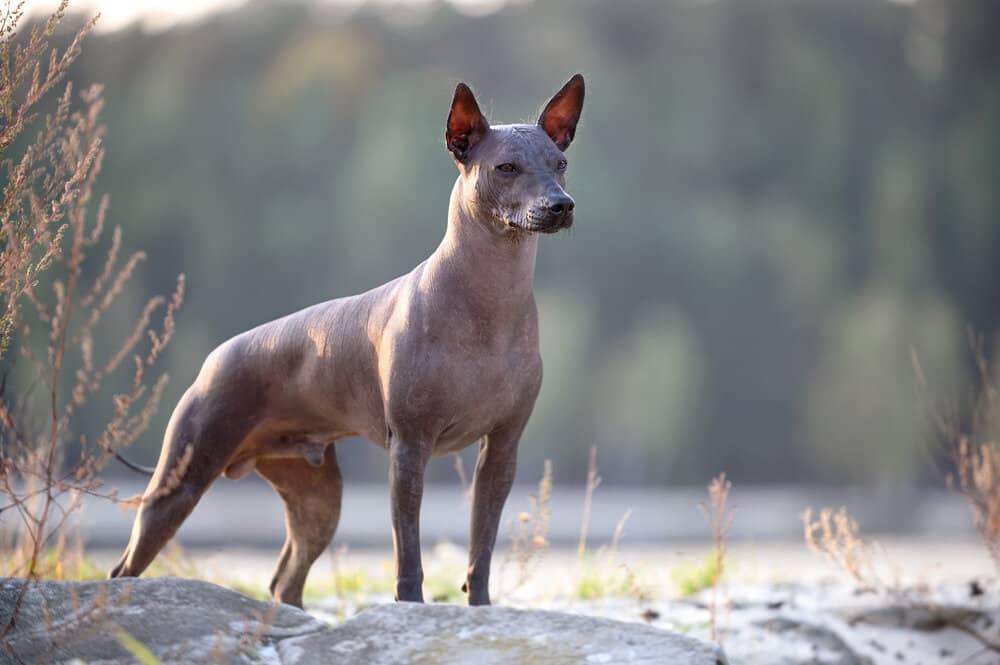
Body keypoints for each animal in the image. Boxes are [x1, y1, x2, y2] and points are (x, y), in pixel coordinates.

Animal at [107, 74, 584, 608]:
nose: (560, 205)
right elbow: (408, 549)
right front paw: (411, 607)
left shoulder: (501, 451)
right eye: (506, 168)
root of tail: (213, 359)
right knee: (125, 568)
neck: (490, 302)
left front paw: (479, 608)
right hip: (181, 481)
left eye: (560, 164)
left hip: (317, 499)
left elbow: (481, 545)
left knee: (286, 579)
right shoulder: (409, 449)